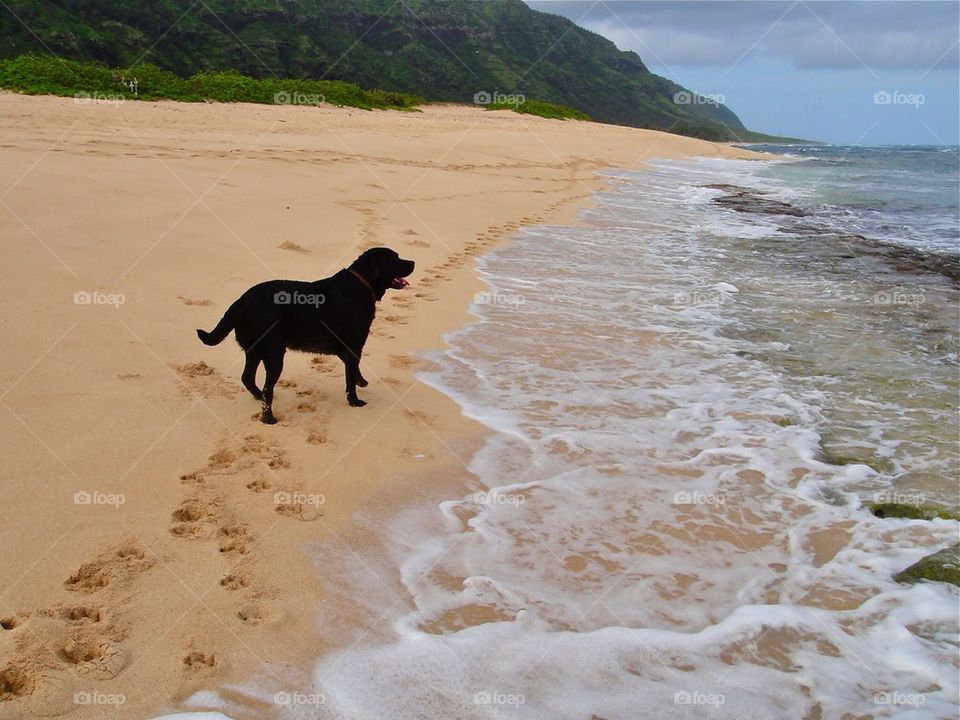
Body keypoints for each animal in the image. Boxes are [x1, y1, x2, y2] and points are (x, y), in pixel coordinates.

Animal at [197, 249, 414, 422]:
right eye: (395, 258)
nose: (413, 262)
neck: (361, 284)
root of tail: (241, 301)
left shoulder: (346, 348)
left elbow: (352, 371)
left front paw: (361, 381)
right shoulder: (353, 345)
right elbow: (350, 376)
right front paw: (355, 401)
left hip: (254, 350)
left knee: (247, 378)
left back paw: (258, 397)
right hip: (274, 354)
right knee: (267, 389)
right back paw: (268, 418)